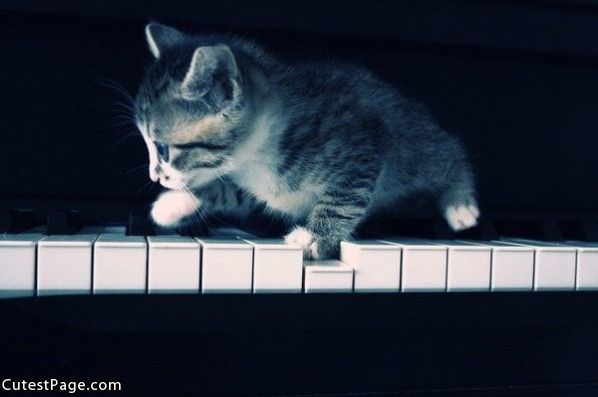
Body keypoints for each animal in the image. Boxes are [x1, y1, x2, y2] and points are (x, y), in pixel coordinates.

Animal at [134, 24, 480, 260]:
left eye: (162, 148)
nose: (153, 175)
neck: (255, 156)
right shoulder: (259, 187)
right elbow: (229, 192)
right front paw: (170, 206)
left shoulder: (360, 147)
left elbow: (342, 200)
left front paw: (316, 239)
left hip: (414, 146)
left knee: (450, 151)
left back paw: (460, 205)